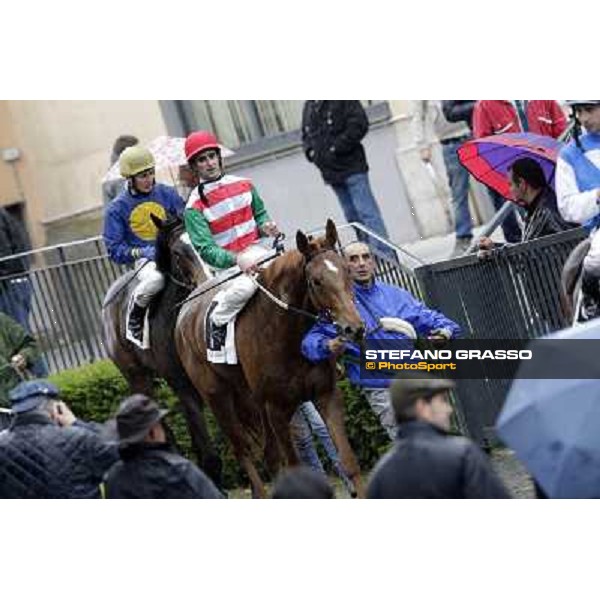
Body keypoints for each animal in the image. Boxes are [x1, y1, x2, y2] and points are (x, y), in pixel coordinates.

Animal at [101, 216, 223, 488]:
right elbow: (209, 454)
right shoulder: (182, 384)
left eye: (202, 239)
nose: (206, 281)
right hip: (136, 375)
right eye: (177, 252)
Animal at [175, 220, 366, 496]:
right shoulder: (276, 408)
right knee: (242, 450)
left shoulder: (325, 394)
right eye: (317, 281)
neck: (286, 335)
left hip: (252, 400)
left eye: (347, 271)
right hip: (218, 398)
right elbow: (295, 467)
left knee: (269, 455)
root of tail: (183, 313)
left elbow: (349, 460)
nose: (354, 328)